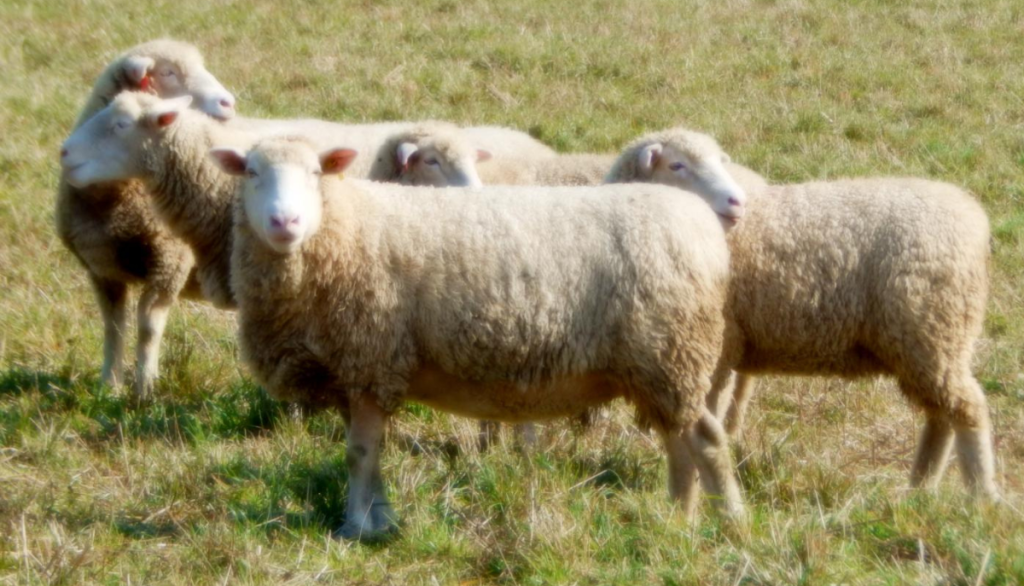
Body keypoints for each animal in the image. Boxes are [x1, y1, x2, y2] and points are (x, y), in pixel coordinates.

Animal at [56, 39, 237, 400]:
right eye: (167, 72)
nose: (228, 103)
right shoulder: (102, 270)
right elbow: (114, 327)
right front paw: (109, 386)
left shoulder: (169, 264)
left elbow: (148, 327)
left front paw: (145, 387)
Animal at [60, 94, 748, 540]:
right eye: (251, 171)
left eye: (316, 173)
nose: (285, 221)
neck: (340, 232)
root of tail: (701, 229)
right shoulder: (354, 367)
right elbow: (364, 451)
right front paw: (378, 516)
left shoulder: (370, 358)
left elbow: (362, 452)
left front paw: (356, 526)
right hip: (662, 366)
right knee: (679, 440)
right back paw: (677, 519)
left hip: (671, 353)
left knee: (707, 439)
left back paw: (728, 523)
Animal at [606, 126, 1000, 500]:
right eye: (677, 165)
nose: (737, 201)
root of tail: (974, 216)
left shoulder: (715, 348)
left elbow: (709, 419)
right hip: (931, 343)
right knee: (941, 416)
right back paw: (920, 490)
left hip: (931, 330)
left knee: (968, 409)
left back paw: (982, 496)